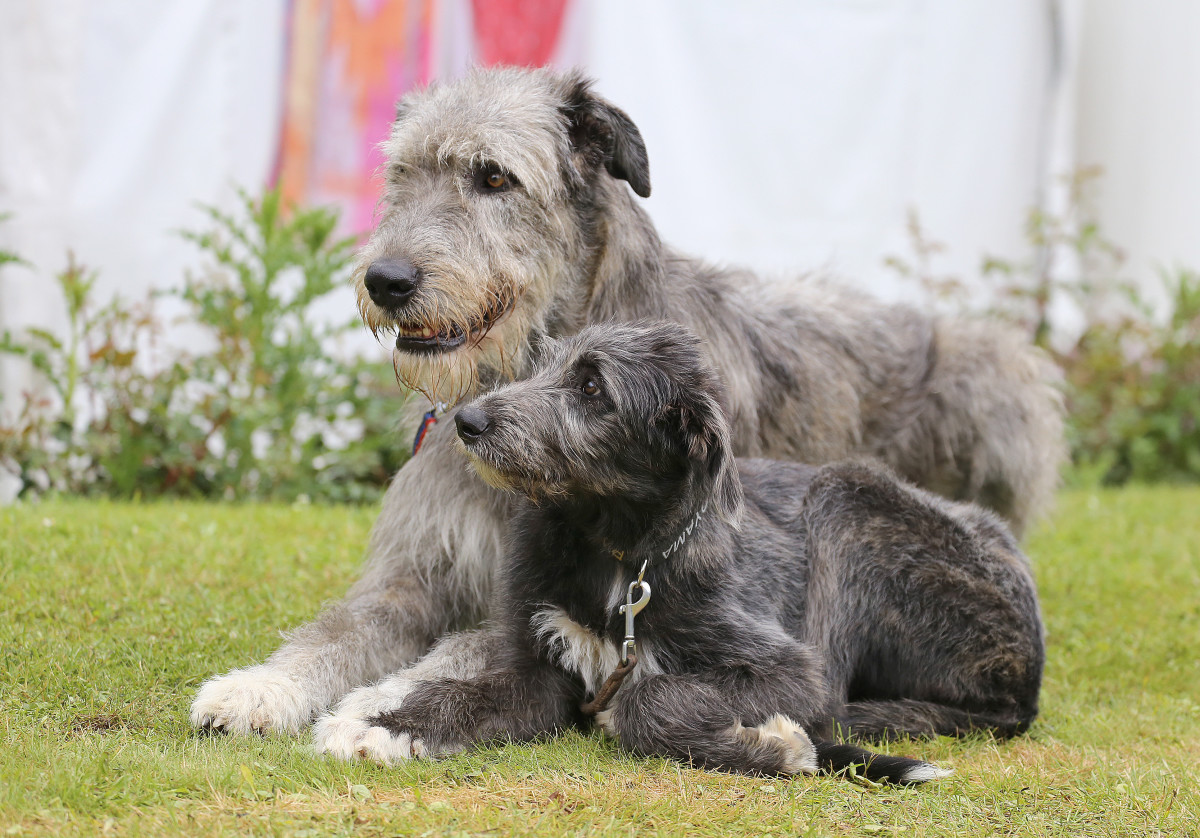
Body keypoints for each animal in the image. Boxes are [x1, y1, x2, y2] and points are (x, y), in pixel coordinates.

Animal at [343, 319, 1036, 777]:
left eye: (592, 387)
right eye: (541, 365)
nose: (468, 422)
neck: (617, 549)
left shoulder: (790, 670)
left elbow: (648, 697)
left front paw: (779, 746)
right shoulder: (539, 663)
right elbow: (477, 693)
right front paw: (381, 726)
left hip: (845, 496)